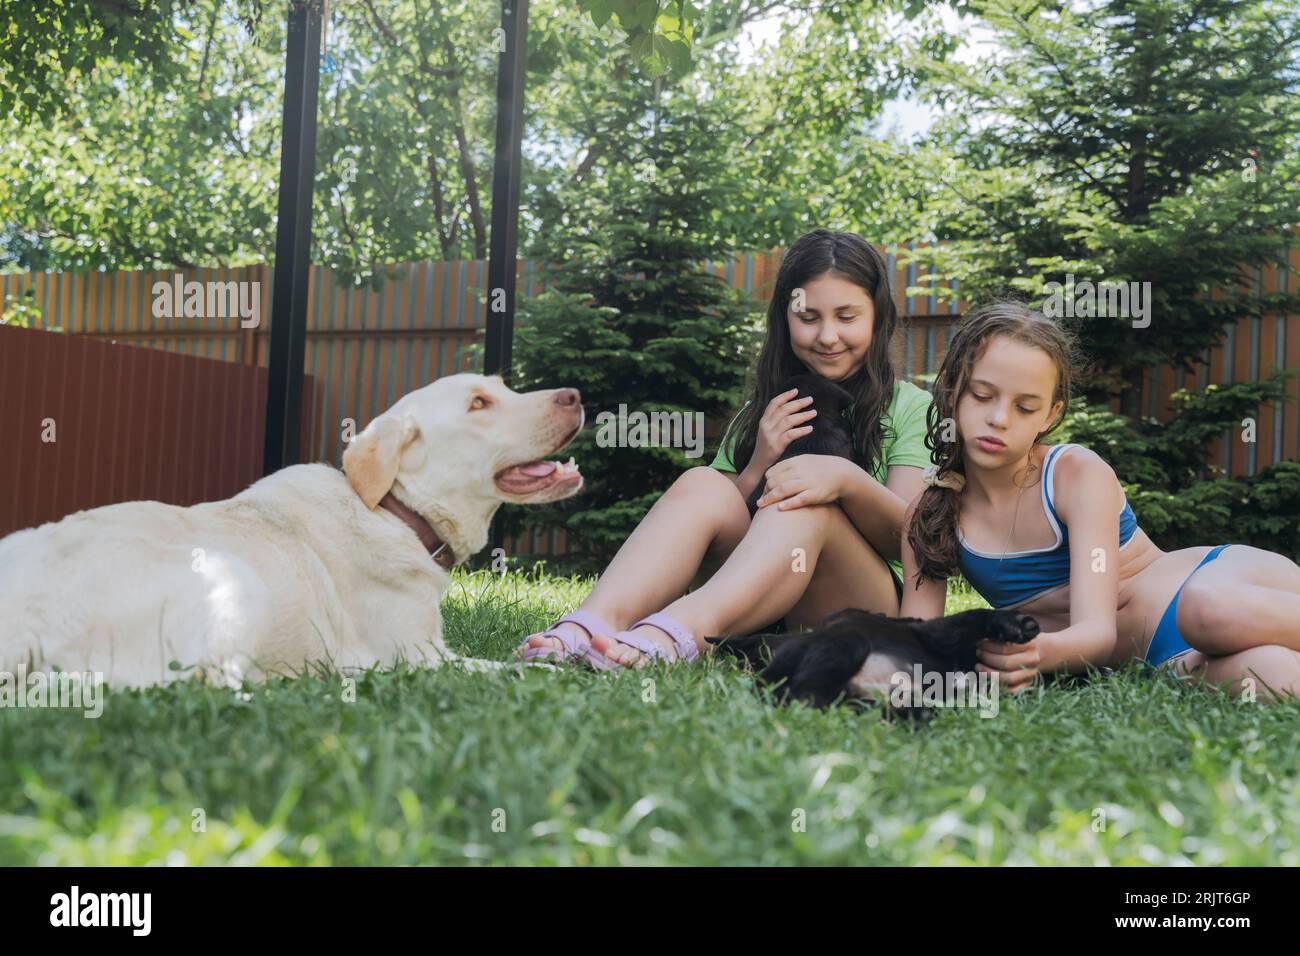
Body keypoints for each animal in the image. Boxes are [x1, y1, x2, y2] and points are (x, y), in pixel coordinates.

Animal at [0, 371, 585, 686]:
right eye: (479, 405)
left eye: (502, 387)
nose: (575, 395)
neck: (394, 510)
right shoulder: (422, 658)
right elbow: (506, 667)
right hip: (230, 576)